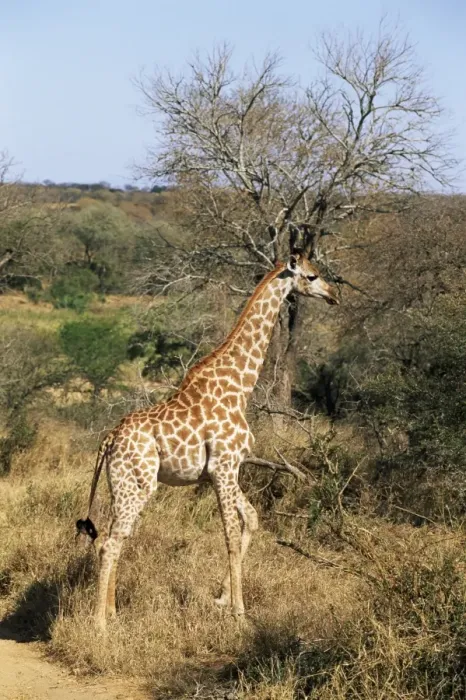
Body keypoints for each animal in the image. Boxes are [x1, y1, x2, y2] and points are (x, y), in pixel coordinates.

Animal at [76, 253, 339, 630]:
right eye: (312, 275)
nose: (334, 295)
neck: (240, 385)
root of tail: (109, 439)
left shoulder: (226, 470)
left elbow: (251, 519)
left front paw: (222, 598)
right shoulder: (224, 466)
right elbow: (229, 535)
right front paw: (239, 614)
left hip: (122, 485)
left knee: (115, 537)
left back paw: (112, 610)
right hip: (138, 485)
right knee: (108, 544)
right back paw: (100, 624)